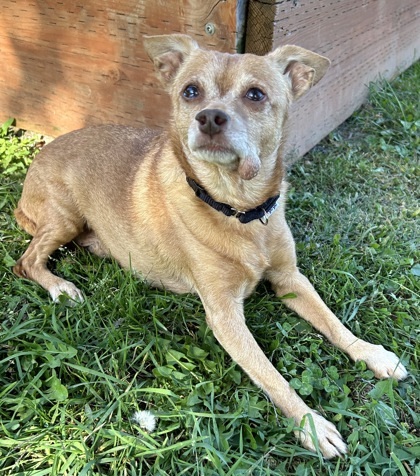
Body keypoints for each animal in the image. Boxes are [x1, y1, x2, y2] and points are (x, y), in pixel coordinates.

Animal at [13, 33, 406, 458]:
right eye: (190, 91)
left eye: (255, 94)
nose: (210, 117)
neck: (239, 208)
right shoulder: (225, 314)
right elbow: (271, 375)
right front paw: (310, 424)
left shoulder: (290, 279)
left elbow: (335, 324)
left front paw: (371, 354)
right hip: (63, 218)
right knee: (26, 262)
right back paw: (61, 288)